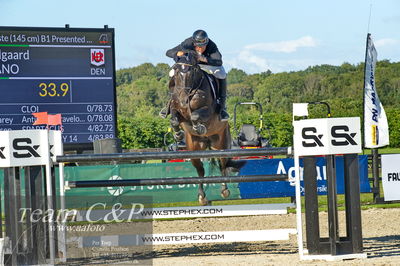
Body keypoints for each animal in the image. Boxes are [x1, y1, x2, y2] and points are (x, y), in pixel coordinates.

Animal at [168, 52, 242, 206]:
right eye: (176, 72)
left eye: (192, 72)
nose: (183, 100)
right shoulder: (177, 109)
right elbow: (174, 118)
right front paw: (178, 135)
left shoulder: (207, 111)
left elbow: (196, 115)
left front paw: (198, 127)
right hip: (195, 150)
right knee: (200, 171)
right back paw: (202, 197)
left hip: (221, 145)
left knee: (222, 165)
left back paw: (224, 190)